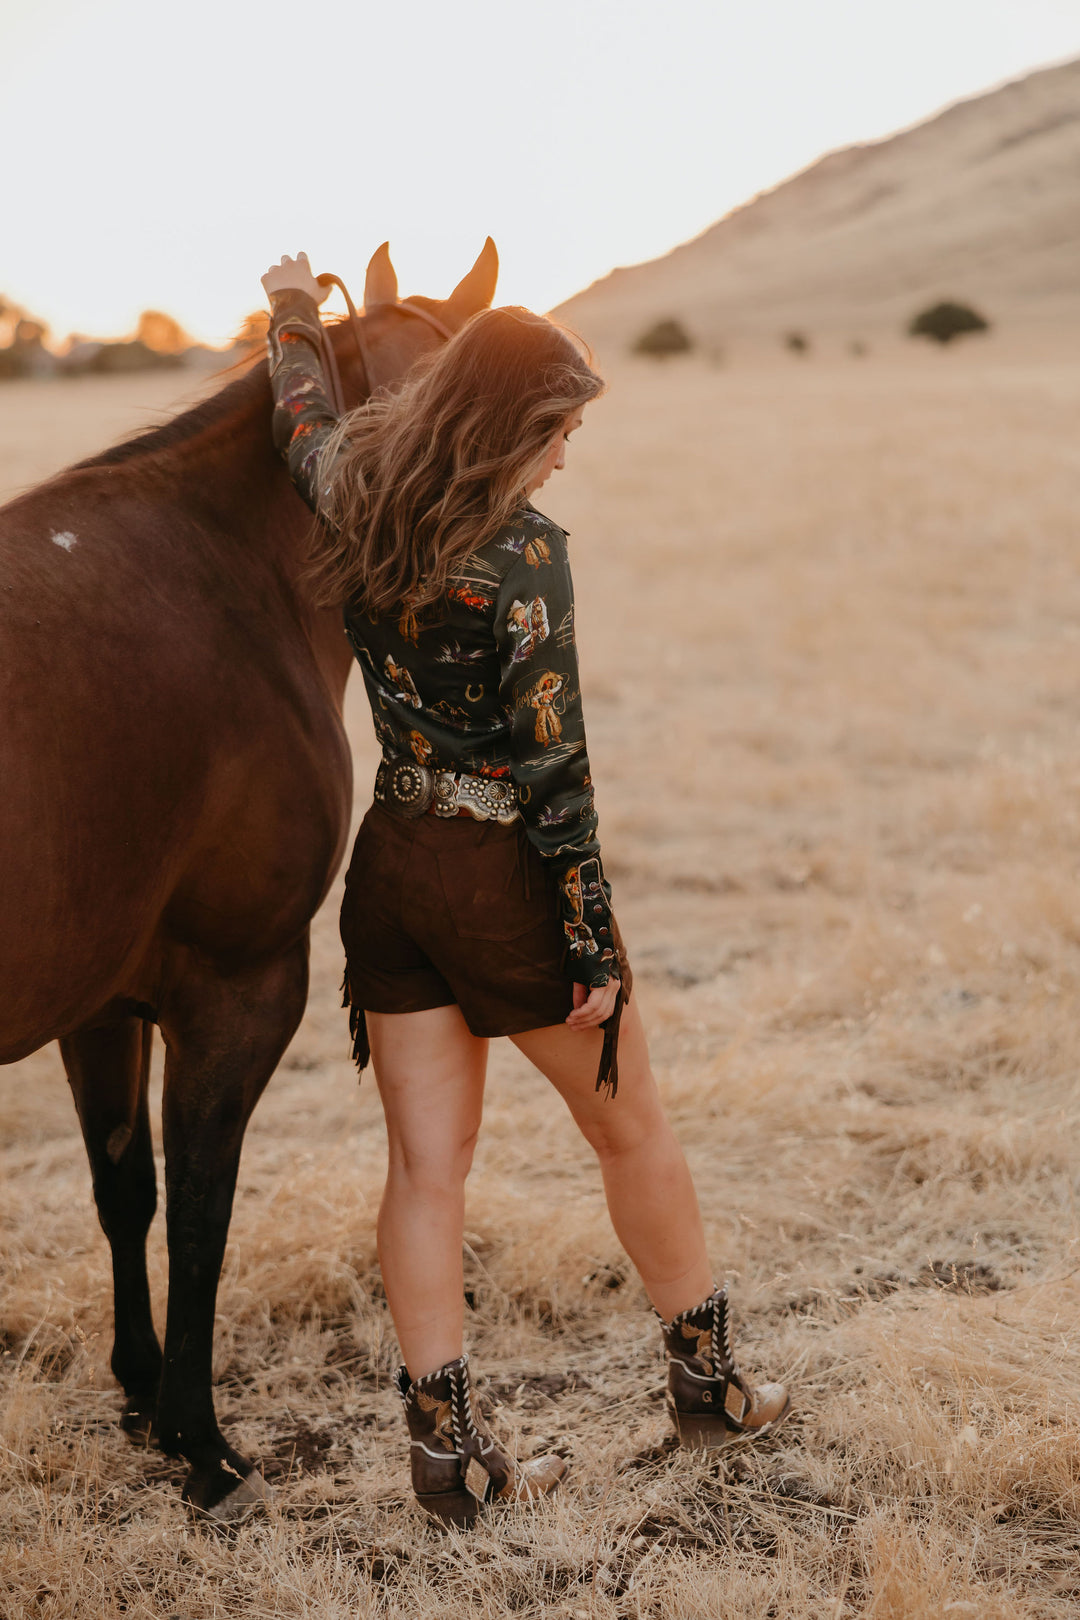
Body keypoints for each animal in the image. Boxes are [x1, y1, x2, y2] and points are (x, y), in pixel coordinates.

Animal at [0, 236, 498, 1516]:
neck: (217, 573)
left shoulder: (104, 1002)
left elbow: (126, 1188)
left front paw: (138, 1391)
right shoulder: (239, 986)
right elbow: (203, 1207)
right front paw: (199, 1443)